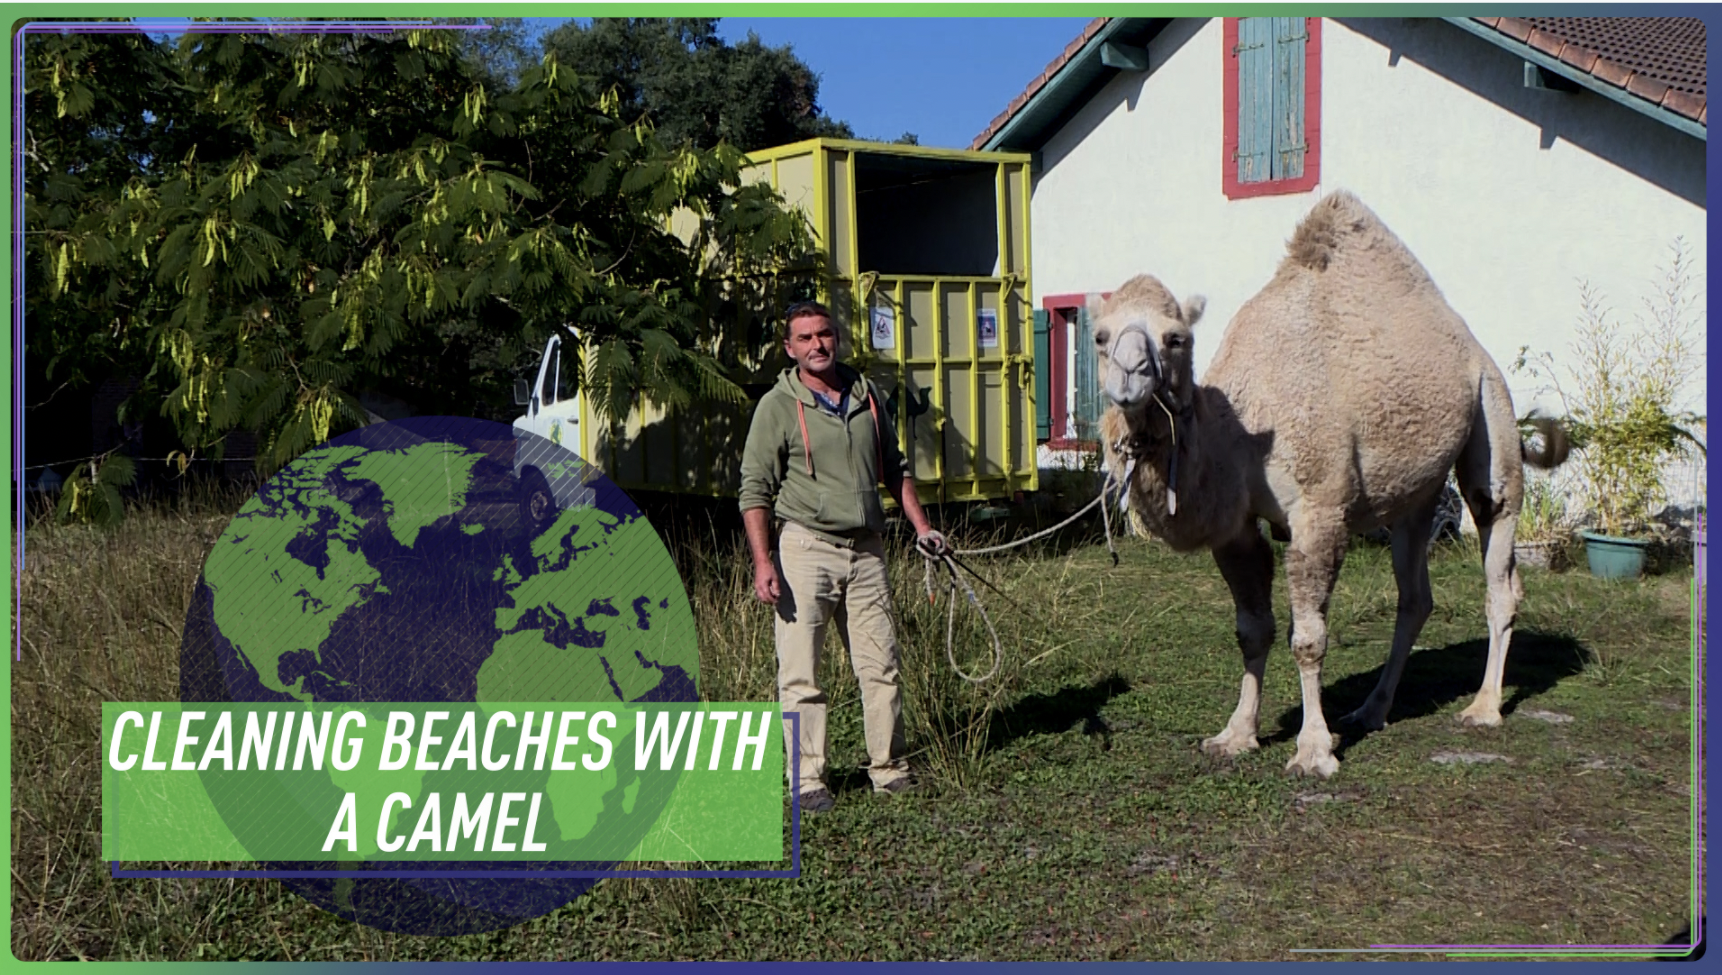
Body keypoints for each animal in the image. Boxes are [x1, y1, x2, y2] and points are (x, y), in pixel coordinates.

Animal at [1096, 190, 1568, 779]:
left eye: (1176, 338)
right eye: (1100, 337)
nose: (1130, 377)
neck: (1244, 428)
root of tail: (1474, 348)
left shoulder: (1319, 509)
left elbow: (1308, 638)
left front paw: (1314, 750)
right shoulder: (1236, 527)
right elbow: (1252, 629)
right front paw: (1235, 735)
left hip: (1492, 405)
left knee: (1498, 556)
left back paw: (1483, 709)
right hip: (1415, 494)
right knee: (1416, 596)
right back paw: (1372, 710)